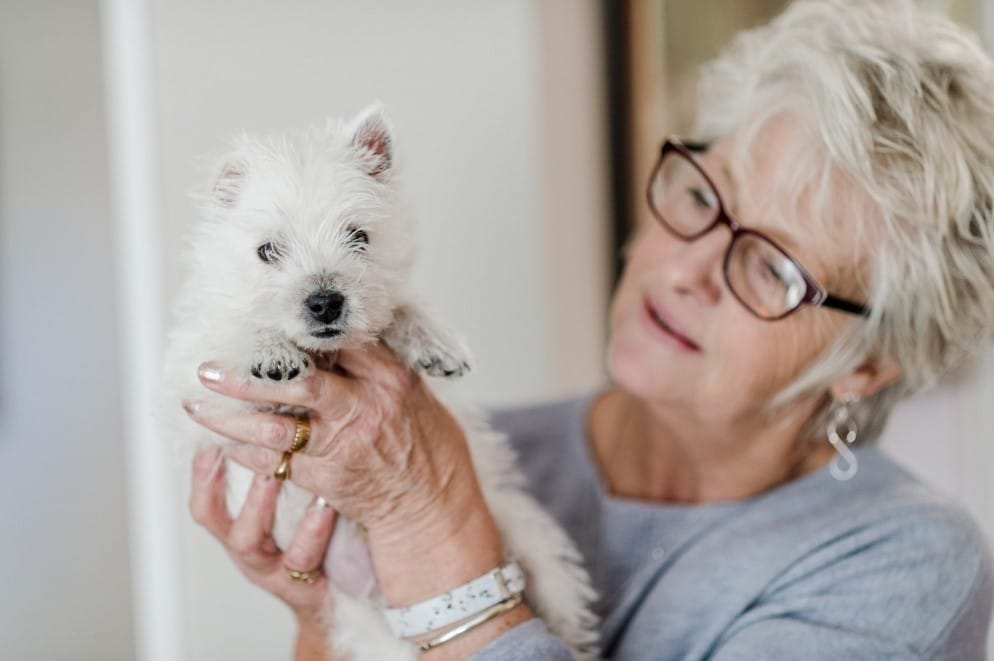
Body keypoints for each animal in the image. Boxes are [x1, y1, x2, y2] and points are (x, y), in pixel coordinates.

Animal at [164, 105, 596, 656]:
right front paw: (269, 352)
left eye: (359, 237)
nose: (325, 302)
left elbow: (397, 304)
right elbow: (230, 335)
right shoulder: (195, 386)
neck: (326, 353)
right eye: (267, 250)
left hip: (527, 532)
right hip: (366, 627)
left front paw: (437, 343)